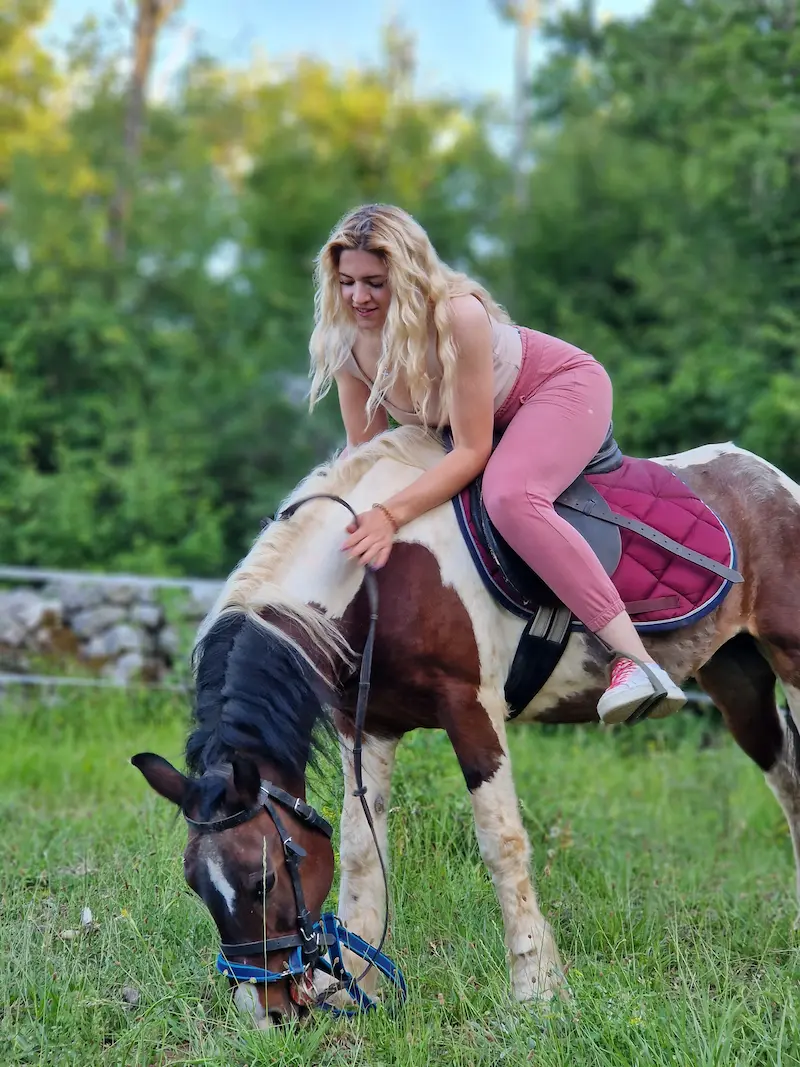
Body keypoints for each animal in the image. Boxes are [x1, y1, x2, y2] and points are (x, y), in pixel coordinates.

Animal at [133, 424, 800, 1024]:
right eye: (196, 884)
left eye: (264, 879)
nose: (264, 1012)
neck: (383, 572)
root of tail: (772, 479)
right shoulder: (365, 725)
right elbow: (361, 850)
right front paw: (353, 989)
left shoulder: (473, 710)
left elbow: (501, 843)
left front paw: (537, 992)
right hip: (735, 678)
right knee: (788, 780)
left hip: (790, 660)